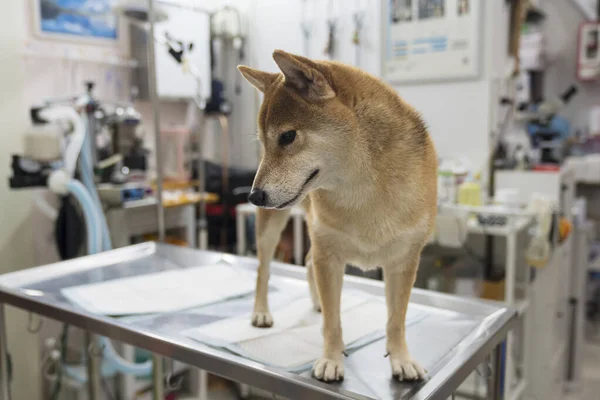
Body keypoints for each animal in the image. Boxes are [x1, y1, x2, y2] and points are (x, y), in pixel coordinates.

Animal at [237, 49, 438, 382]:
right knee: (263, 270)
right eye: (264, 144)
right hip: (273, 230)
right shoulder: (329, 257)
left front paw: (401, 358)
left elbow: (396, 319)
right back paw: (261, 311)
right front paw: (331, 360)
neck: (364, 190)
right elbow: (333, 323)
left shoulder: (404, 262)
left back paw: (317, 301)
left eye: (288, 136)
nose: (254, 196)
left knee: (307, 262)